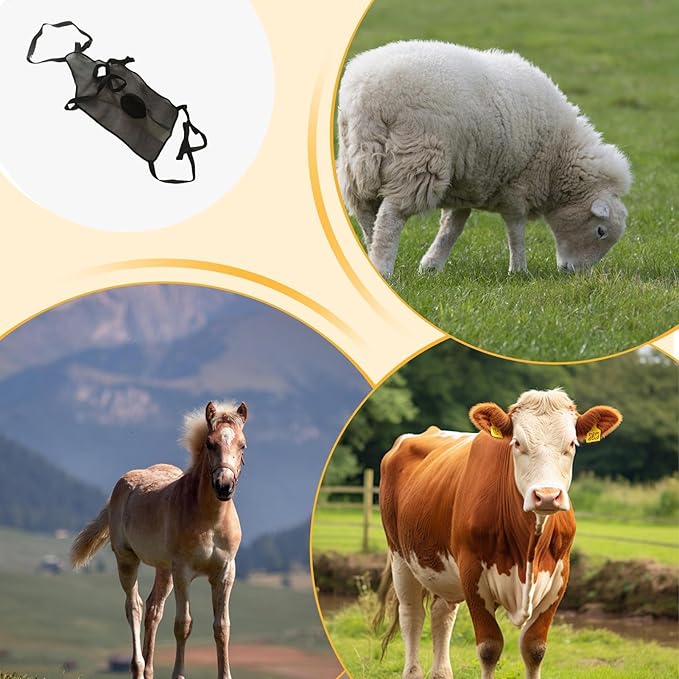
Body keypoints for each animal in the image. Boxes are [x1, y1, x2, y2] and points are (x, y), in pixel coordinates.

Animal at [336, 40, 632, 277]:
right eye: (600, 231)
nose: (573, 273)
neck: (559, 159)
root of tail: (367, 94)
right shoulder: (518, 184)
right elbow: (515, 229)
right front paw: (519, 270)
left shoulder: (464, 182)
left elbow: (452, 226)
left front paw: (431, 266)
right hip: (417, 160)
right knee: (390, 218)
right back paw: (383, 267)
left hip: (358, 159)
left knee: (366, 215)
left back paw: (371, 257)